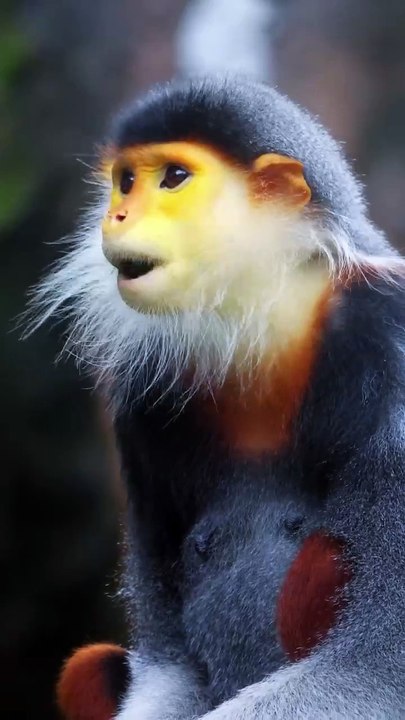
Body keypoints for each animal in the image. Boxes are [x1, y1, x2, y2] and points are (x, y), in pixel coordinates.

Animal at [30, 77, 405, 719]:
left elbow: (376, 667)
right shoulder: (143, 397)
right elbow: (170, 665)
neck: (264, 329)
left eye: (173, 177)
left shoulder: (386, 341)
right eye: (124, 181)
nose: (117, 213)